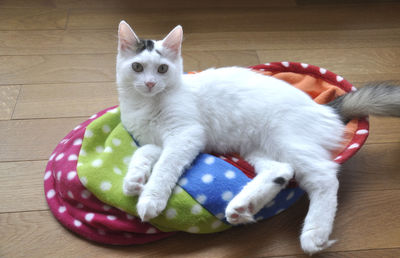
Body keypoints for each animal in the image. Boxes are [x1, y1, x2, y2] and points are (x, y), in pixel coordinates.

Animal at [115, 20, 400, 254]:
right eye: (137, 67)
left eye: (162, 69)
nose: (150, 83)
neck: (146, 104)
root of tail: (324, 108)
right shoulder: (156, 141)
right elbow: (143, 152)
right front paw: (134, 180)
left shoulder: (186, 135)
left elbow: (164, 168)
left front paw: (150, 198)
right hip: (257, 148)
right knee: (282, 171)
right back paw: (243, 206)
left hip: (286, 140)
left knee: (325, 177)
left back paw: (314, 233)